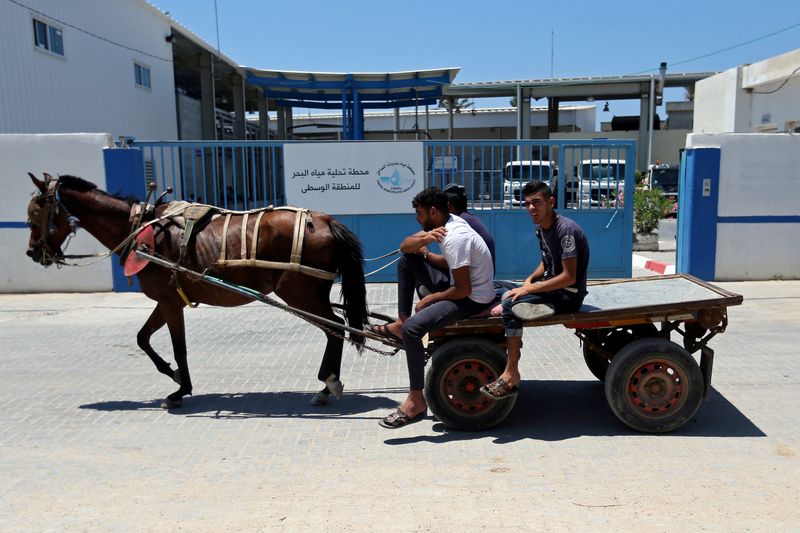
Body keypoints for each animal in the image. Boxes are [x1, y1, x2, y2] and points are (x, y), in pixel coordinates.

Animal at [25, 174, 368, 408]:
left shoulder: (168, 301)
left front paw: (180, 389)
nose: (33, 253)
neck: (143, 230)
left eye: (34, 214)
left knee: (336, 329)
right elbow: (142, 338)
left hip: (301, 294)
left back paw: (328, 383)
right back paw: (326, 386)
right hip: (310, 294)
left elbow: (179, 347)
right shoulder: (167, 300)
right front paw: (173, 375)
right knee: (335, 329)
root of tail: (325, 221)